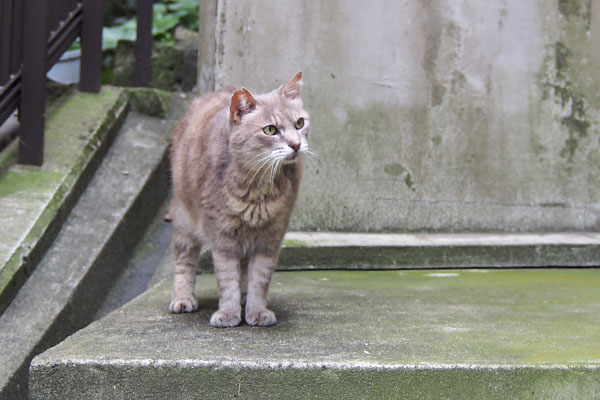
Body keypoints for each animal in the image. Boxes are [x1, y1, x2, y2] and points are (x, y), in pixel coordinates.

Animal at [169, 72, 310, 328]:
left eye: (299, 123)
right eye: (270, 130)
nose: (296, 144)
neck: (257, 186)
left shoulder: (270, 238)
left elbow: (259, 280)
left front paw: (257, 311)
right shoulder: (222, 236)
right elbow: (227, 279)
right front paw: (228, 313)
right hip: (184, 221)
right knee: (184, 262)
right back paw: (183, 299)